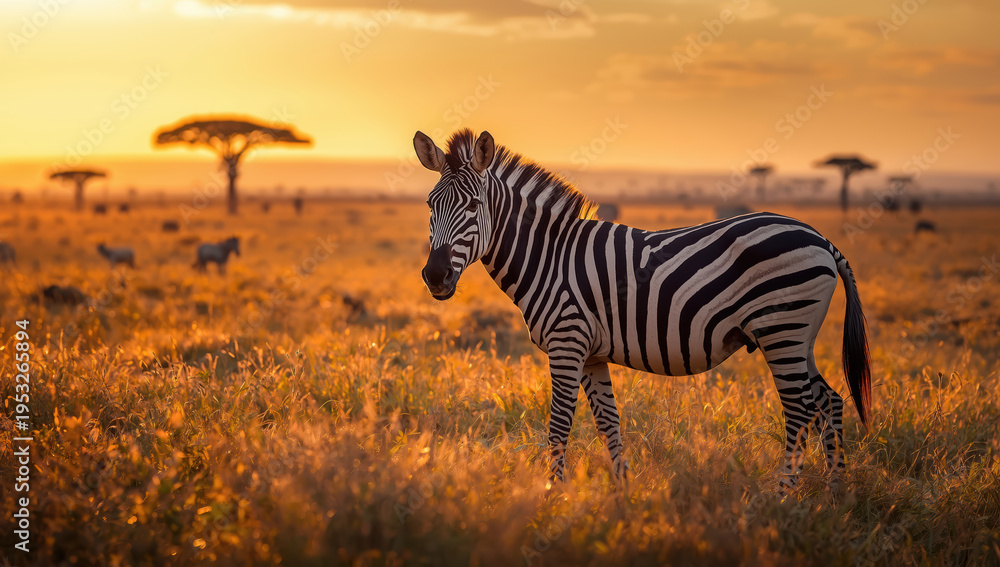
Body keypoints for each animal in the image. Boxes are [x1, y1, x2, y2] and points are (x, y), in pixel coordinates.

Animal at [414, 129, 872, 493]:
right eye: (429, 204)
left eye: (473, 206)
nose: (435, 275)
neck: (550, 257)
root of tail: (821, 238)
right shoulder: (591, 354)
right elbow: (608, 424)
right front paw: (623, 495)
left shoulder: (567, 343)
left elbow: (559, 425)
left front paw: (553, 497)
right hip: (799, 337)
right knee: (829, 402)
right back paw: (835, 493)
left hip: (782, 330)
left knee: (800, 409)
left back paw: (782, 497)